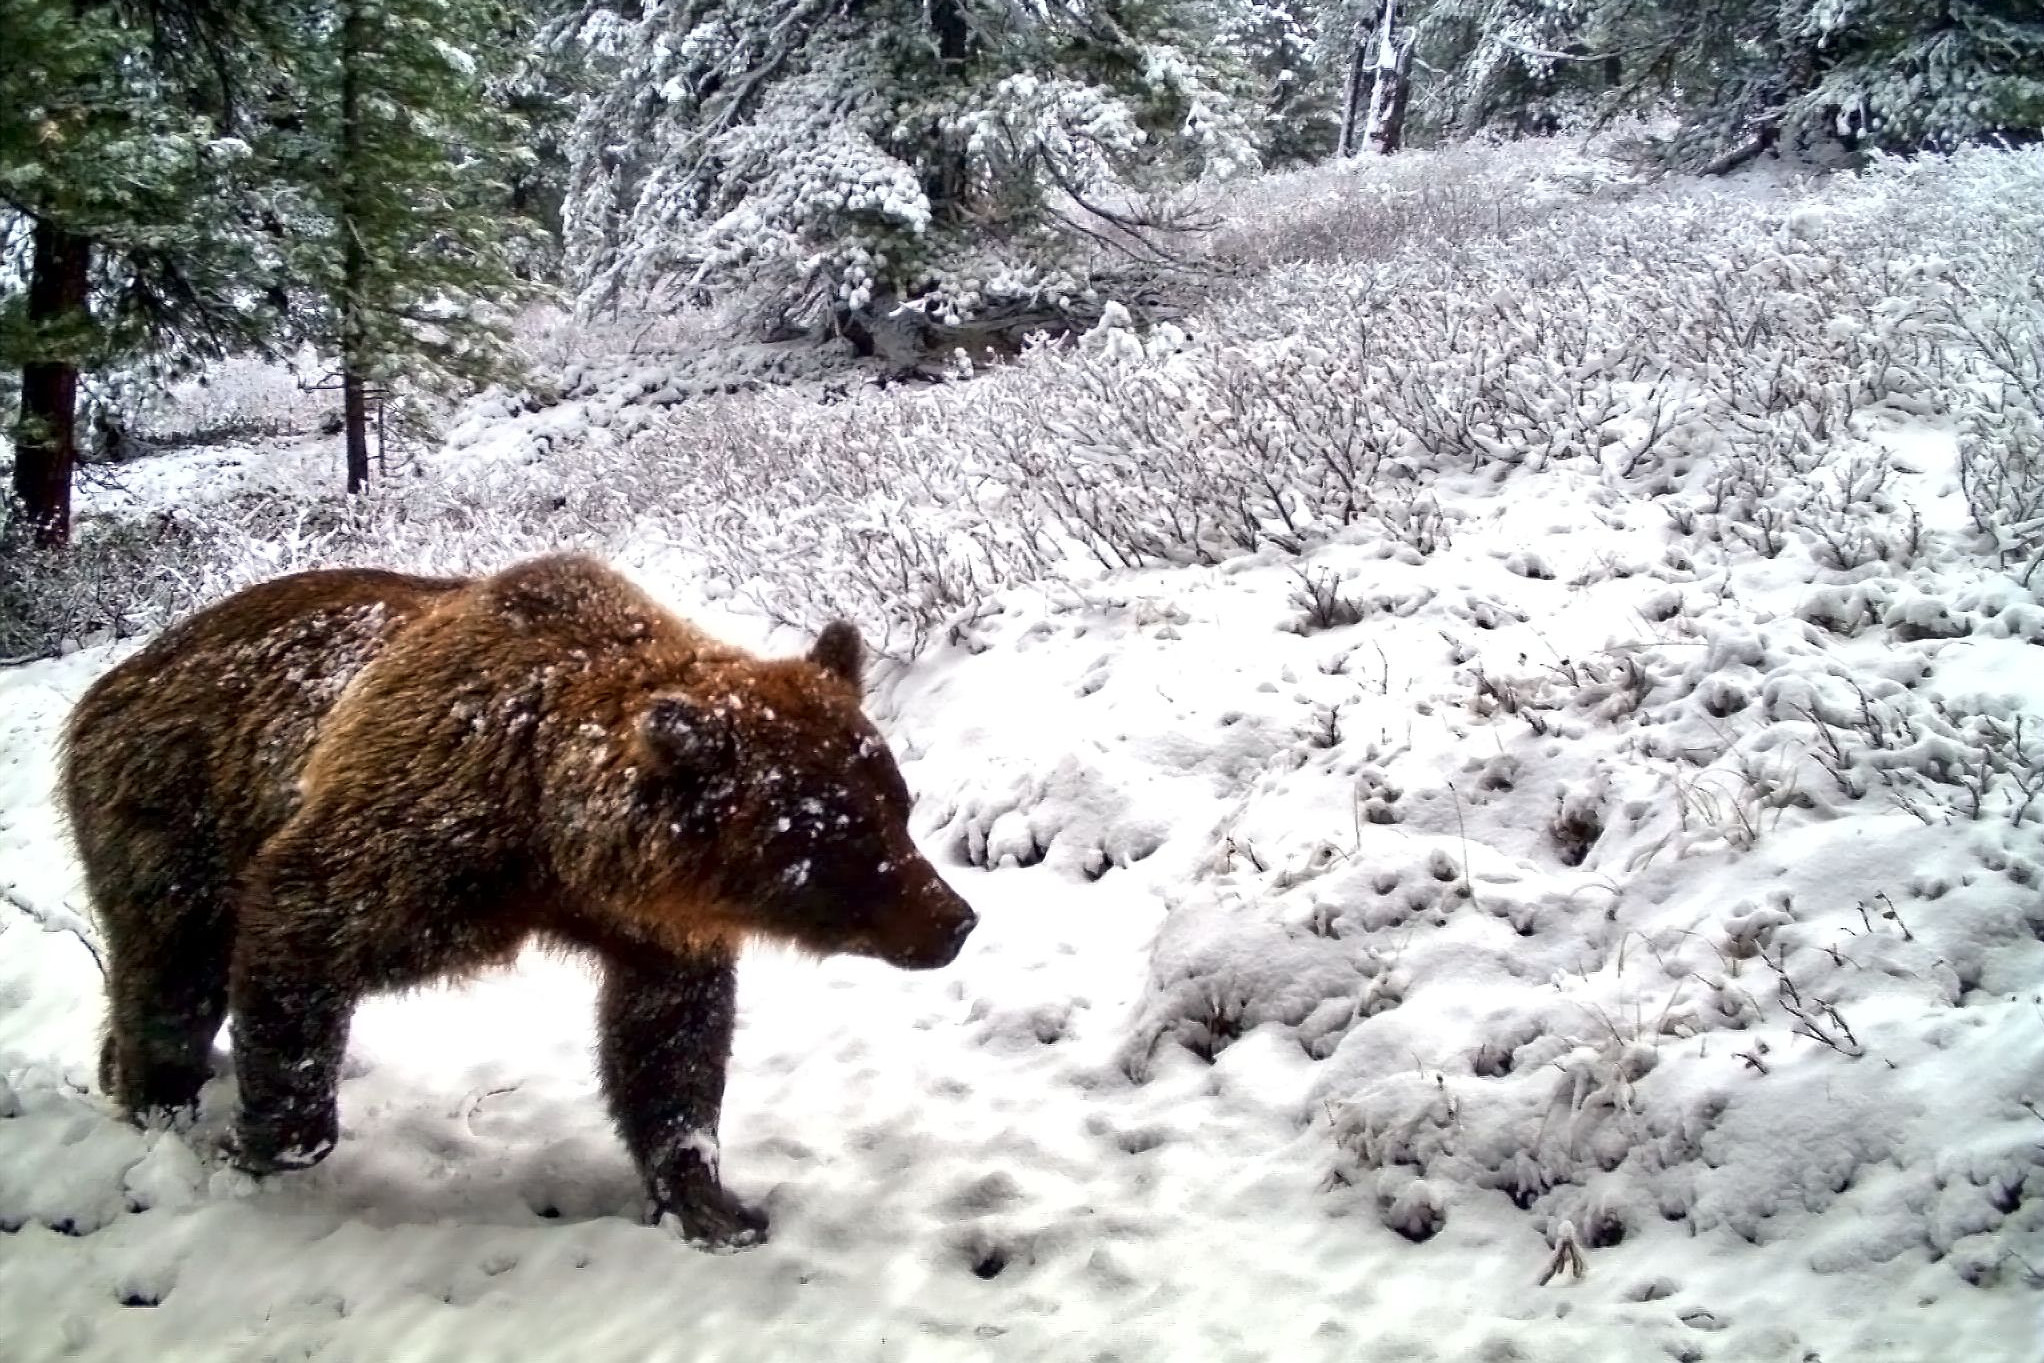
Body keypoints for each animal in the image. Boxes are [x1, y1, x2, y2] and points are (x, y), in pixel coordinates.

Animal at [63, 551, 981, 1250]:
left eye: (896, 805)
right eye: (837, 839)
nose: (955, 920)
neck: (546, 833)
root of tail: (116, 676)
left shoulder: (652, 920)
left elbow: (669, 1042)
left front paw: (711, 1199)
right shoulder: (413, 831)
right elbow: (303, 917)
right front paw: (259, 1140)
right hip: (173, 811)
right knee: (170, 971)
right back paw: (162, 1097)